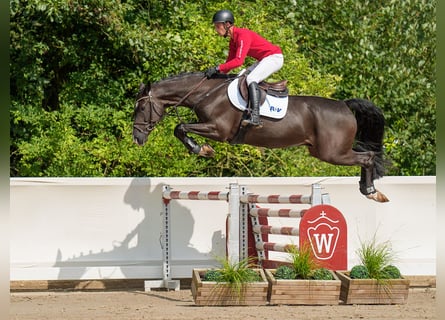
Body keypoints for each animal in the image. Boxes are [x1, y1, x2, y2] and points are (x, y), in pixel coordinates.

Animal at [133, 72, 388, 202]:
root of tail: (344, 105)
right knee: (367, 154)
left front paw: (202, 149)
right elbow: (180, 128)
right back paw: (369, 189)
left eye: (141, 108)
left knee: (368, 156)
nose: (137, 138)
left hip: (333, 153)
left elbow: (180, 127)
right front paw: (201, 149)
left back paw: (371, 192)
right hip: (324, 151)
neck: (206, 93)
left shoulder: (218, 129)